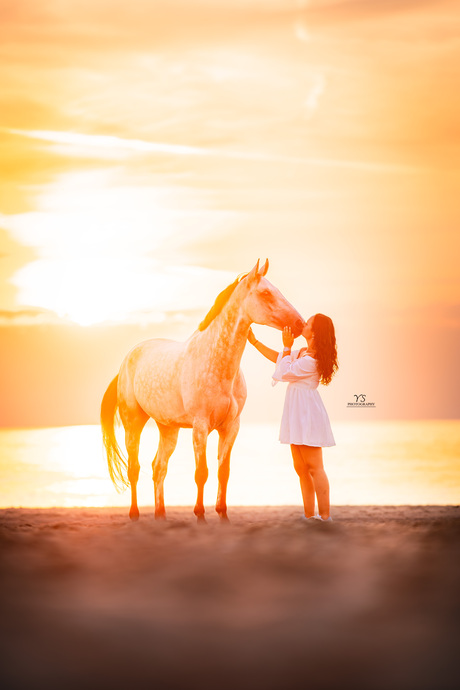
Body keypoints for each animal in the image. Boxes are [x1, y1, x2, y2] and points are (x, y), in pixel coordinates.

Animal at [100, 260, 304, 520]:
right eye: (266, 292)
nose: (299, 324)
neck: (216, 363)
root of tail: (127, 360)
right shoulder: (200, 426)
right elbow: (202, 472)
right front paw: (199, 513)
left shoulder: (231, 427)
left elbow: (223, 471)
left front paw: (222, 512)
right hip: (133, 423)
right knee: (134, 468)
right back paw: (135, 514)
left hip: (168, 429)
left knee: (159, 467)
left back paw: (160, 514)